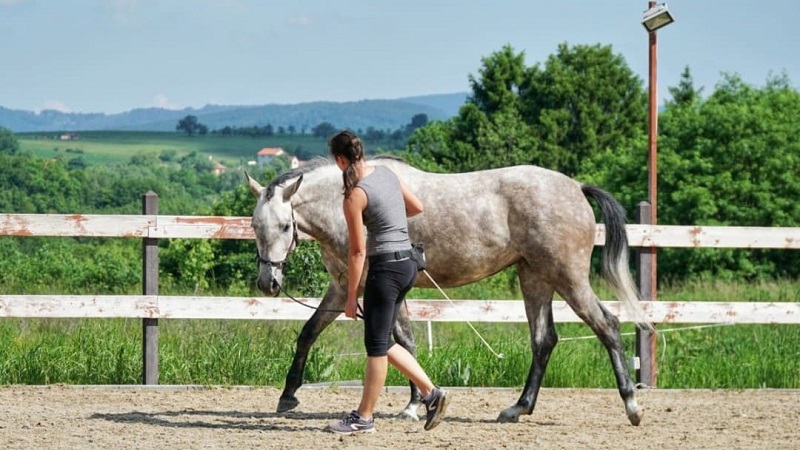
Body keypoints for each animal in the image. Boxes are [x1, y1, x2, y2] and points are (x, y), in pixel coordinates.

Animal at [247, 156, 652, 426]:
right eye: (254, 225)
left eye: (285, 226)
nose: (268, 283)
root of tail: (576, 187)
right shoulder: (344, 287)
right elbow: (310, 333)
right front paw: (287, 396)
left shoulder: (380, 289)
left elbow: (402, 342)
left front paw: (414, 405)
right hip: (534, 277)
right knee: (544, 340)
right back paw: (517, 408)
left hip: (566, 277)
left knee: (607, 325)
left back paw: (632, 406)